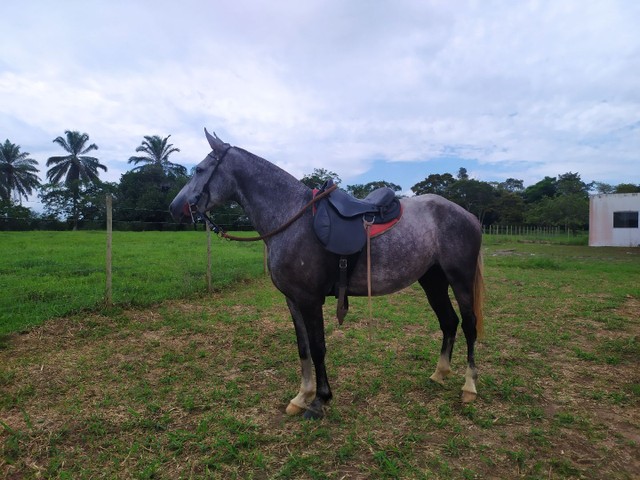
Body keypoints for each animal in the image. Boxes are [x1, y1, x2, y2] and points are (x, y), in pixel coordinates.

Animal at [170, 131, 484, 420]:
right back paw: (439, 373)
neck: (291, 218)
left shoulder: (310, 300)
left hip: (459, 279)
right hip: (432, 280)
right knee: (448, 321)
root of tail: (468, 216)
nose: (175, 208)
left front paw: (320, 400)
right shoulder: (293, 300)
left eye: (199, 170)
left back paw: (469, 387)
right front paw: (301, 396)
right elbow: (303, 348)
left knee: (469, 325)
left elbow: (318, 347)